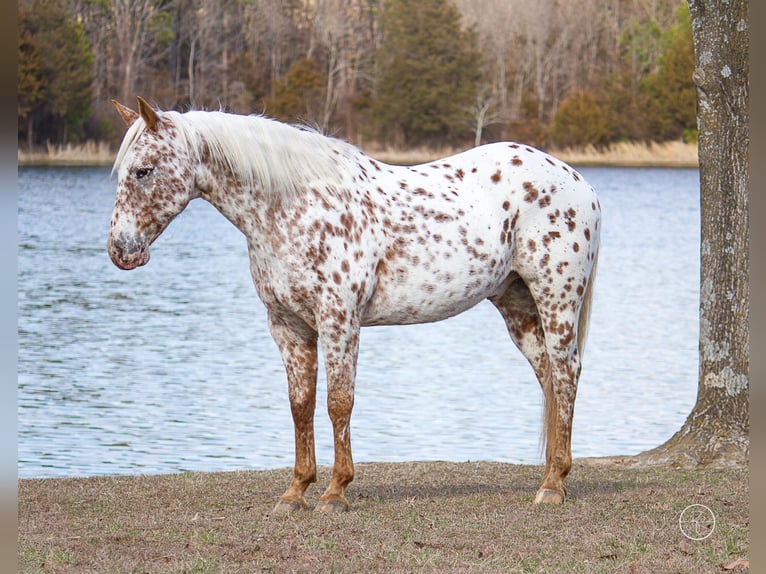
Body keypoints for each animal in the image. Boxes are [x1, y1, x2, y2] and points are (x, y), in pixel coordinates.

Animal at [108, 97, 604, 516]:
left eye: (144, 171)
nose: (121, 250)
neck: (292, 207)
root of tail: (578, 182)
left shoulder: (338, 320)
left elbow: (338, 403)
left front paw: (334, 492)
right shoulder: (288, 327)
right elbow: (301, 405)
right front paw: (295, 493)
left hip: (557, 299)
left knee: (567, 375)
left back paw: (553, 486)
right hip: (517, 305)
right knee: (550, 380)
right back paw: (549, 476)